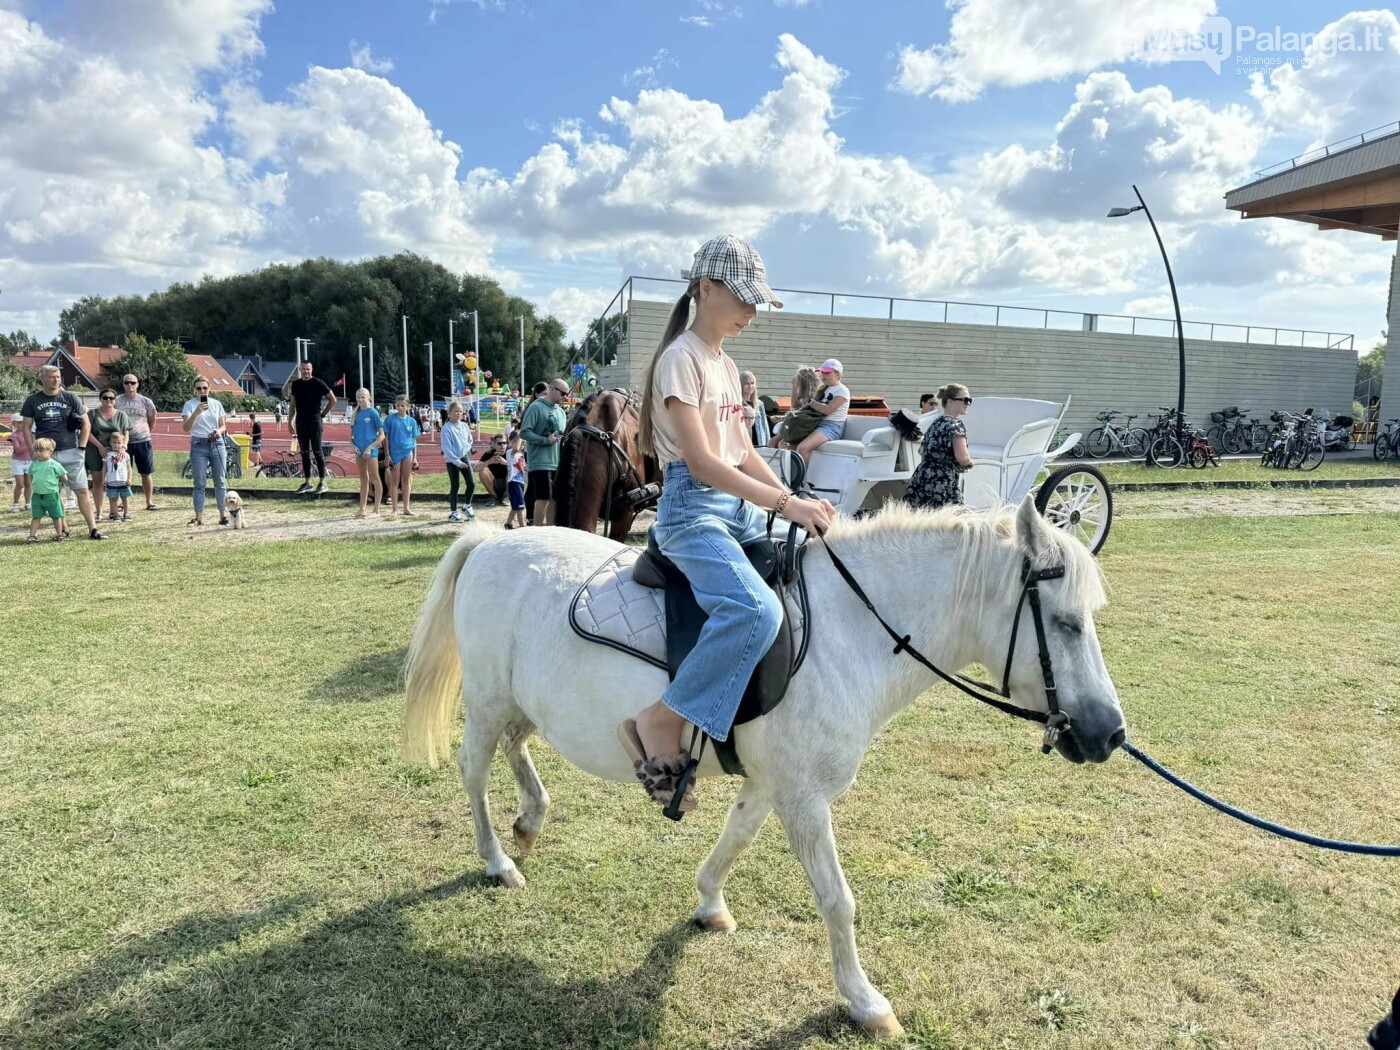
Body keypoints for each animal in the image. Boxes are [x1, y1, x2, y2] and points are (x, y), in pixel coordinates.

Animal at [406, 501, 1125, 1047]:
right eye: (1065, 623)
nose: (1111, 733)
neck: (848, 634)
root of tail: (493, 542)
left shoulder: (771, 784)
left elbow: (736, 838)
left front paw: (709, 905)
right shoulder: (805, 798)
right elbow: (837, 901)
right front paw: (864, 1001)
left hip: (523, 705)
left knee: (516, 749)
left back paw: (531, 819)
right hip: (489, 701)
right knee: (474, 771)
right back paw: (499, 859)